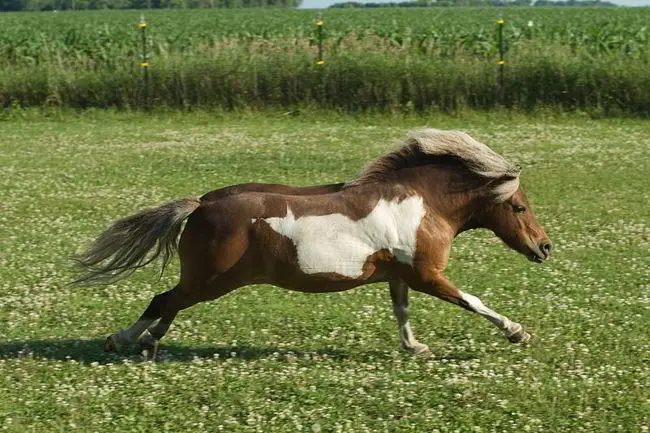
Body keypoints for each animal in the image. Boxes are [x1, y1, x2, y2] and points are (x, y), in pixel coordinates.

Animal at [77, 129, 552, 358]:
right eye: (520, 207)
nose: (545, 248)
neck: (423, 204)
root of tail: (201, 203)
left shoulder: (398, 275)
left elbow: (401, 313)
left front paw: (414, 347)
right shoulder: (427, 274)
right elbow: (473, 301)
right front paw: (517, 332)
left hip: (205, 281)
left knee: (171, 304)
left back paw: (149, 344)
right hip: (211, 280)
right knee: (163, 300)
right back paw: (121, 340)